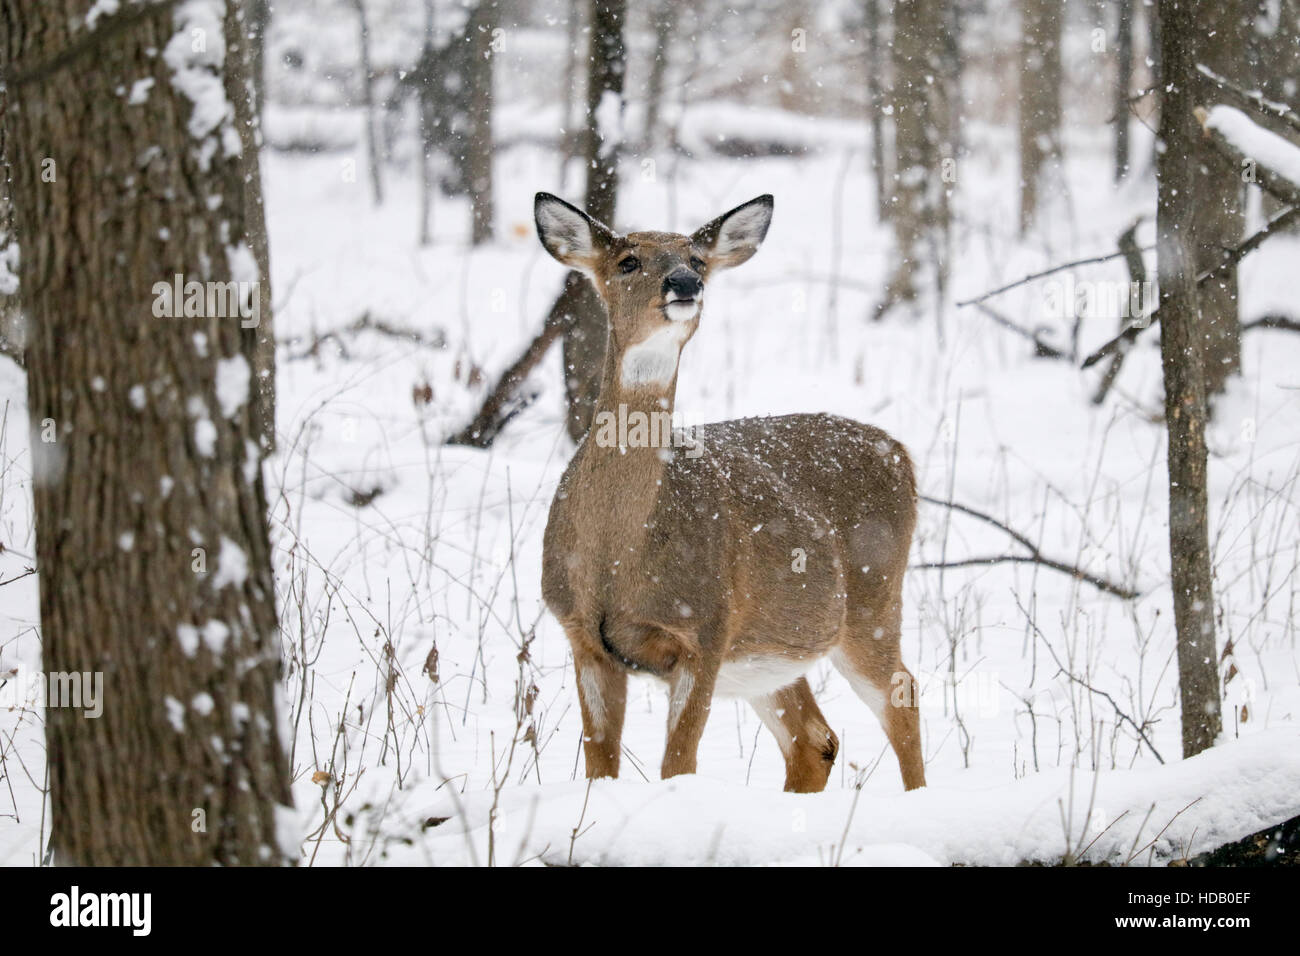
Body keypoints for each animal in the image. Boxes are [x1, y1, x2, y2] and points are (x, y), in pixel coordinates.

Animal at [535, 188, 925, 790]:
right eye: (628, 261)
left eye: (696, 260)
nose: (684, 284)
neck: (615, 556)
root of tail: (899, 451)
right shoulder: (581, 636)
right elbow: (600, 768)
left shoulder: (705, 630)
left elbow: (679, 765)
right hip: (768, 652)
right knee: (817, 739)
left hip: (872, 601)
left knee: (901, 696)